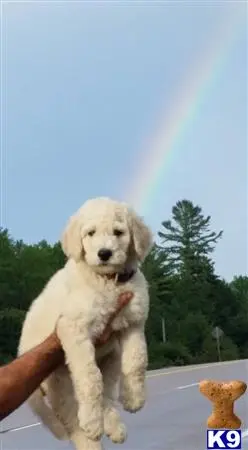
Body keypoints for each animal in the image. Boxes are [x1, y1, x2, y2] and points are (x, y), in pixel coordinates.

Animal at [17, 198, 153, 450]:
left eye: (118, 232)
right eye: (90, 233)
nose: (104, 253)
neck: (107, 281)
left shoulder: (133, 324)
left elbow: (136, 361)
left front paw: (134, 398)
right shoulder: (74, 330)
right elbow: (90, 379)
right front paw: (91, 421)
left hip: (111, 356)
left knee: (107, 394)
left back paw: (114, 427)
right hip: (60, 385)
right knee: (74, 421)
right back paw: (92, 434)